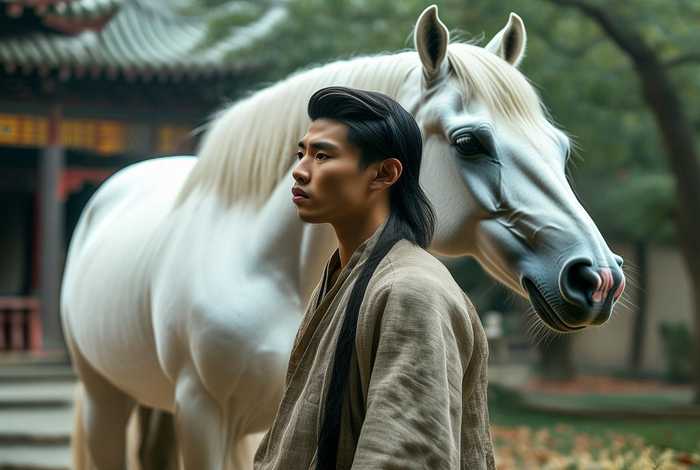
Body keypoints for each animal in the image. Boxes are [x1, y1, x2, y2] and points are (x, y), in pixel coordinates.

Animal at [61, 5, 626, 469]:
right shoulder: (202, 415)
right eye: (470, 142)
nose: (597, 277)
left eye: (558, 146)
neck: (270, 268)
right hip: (103, 398)